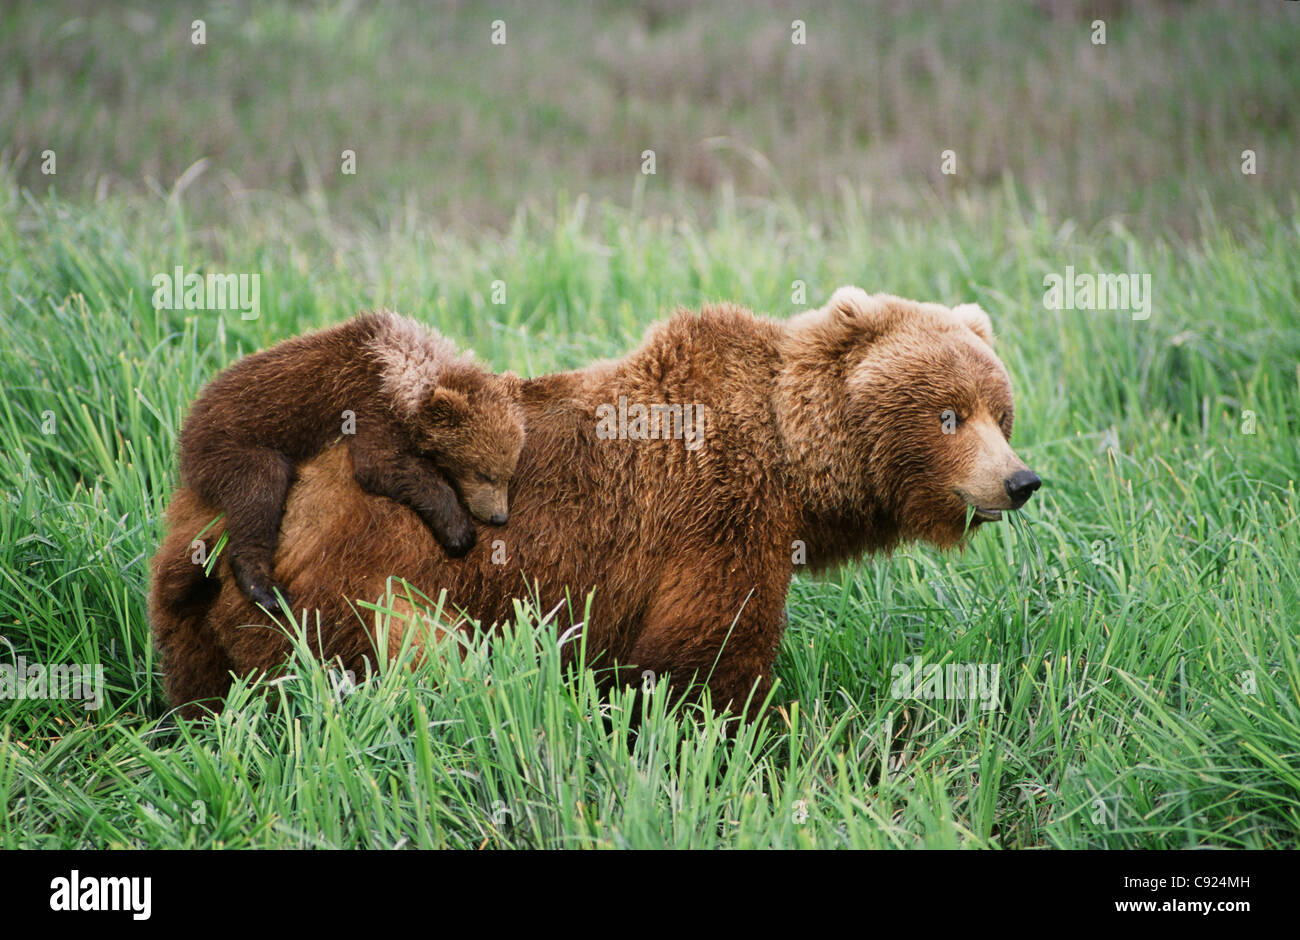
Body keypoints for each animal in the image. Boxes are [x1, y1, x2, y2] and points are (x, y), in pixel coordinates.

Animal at [147, 289, 1040, 717]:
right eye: (949, 414)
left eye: (1002, 411)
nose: (1020, 481)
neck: (791, 464)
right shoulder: (716, 516)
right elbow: (706, 656)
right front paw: (750, 736)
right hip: (363, 581)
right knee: (420, 665)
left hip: (197, 595)